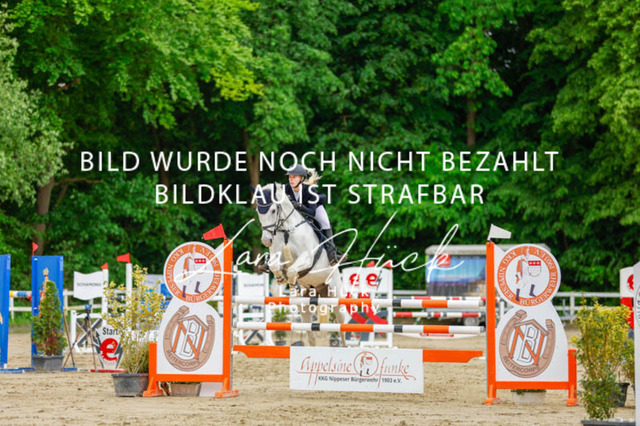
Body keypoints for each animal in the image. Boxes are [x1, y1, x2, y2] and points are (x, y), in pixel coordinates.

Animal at [254, 183, 347, 346]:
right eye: (259, 211)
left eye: (273, 210)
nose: (266, 240)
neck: (286, 230)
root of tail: (319, 289)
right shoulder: (277, 256)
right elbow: (274, 265)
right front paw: (281, 278)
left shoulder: (307, 258)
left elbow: (292, 270)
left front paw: (292, 283)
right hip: (304, 306)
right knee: (311, 336)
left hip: (336, 297)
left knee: (342, 329)